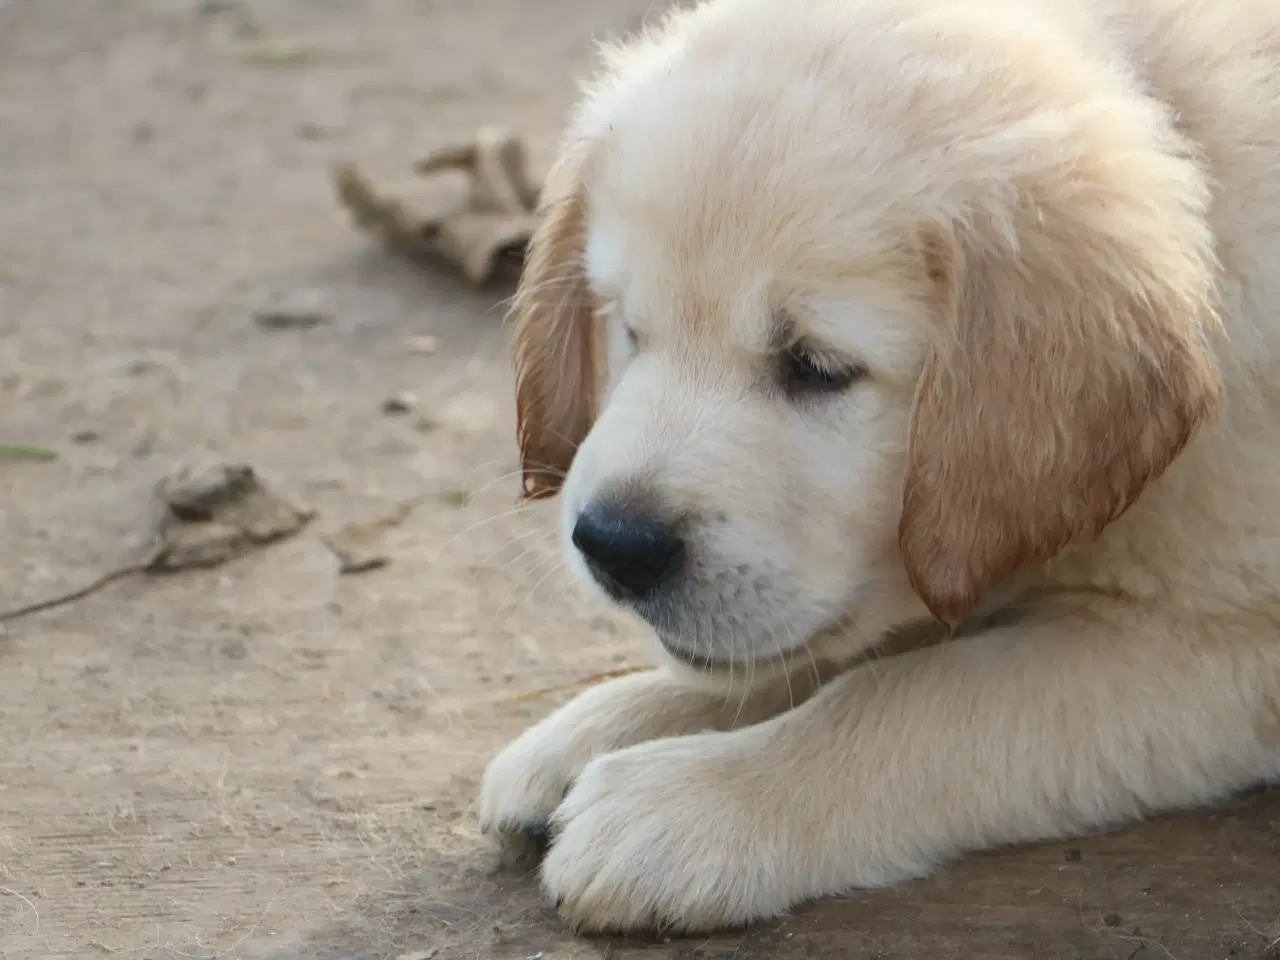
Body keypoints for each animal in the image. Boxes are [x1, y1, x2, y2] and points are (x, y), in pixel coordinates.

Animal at [476, 0, 1280, 942]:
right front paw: (598, 728)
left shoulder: (1228, 645)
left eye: (817, 367)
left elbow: (910, 696)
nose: (613, 546)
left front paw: (684, 804)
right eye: (632, 329)